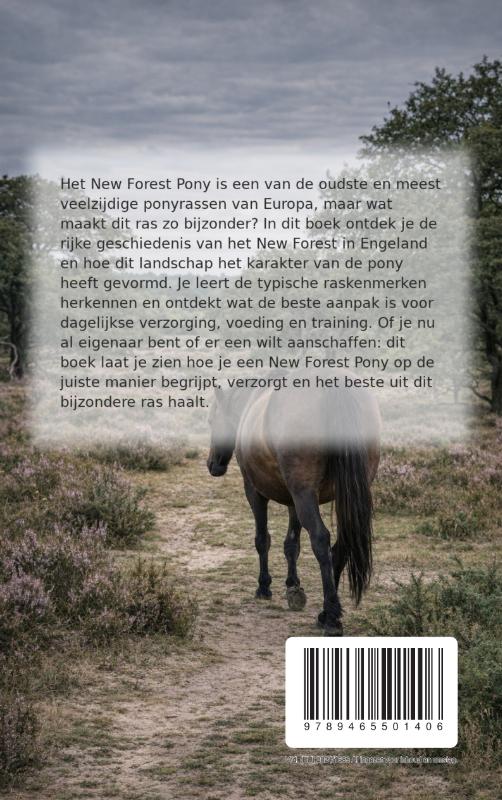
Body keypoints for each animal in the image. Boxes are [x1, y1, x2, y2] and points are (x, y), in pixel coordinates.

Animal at [206, 378, 380, 635]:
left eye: (211, 420)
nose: (212, 465)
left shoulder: (255, 492)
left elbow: (262, 539)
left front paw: (264, 587)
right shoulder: (293, 500)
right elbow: (292, 544)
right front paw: (293, 585)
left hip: (303, 494)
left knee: (320, 540)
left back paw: (331, 617)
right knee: (341, 545)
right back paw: (324, 613)